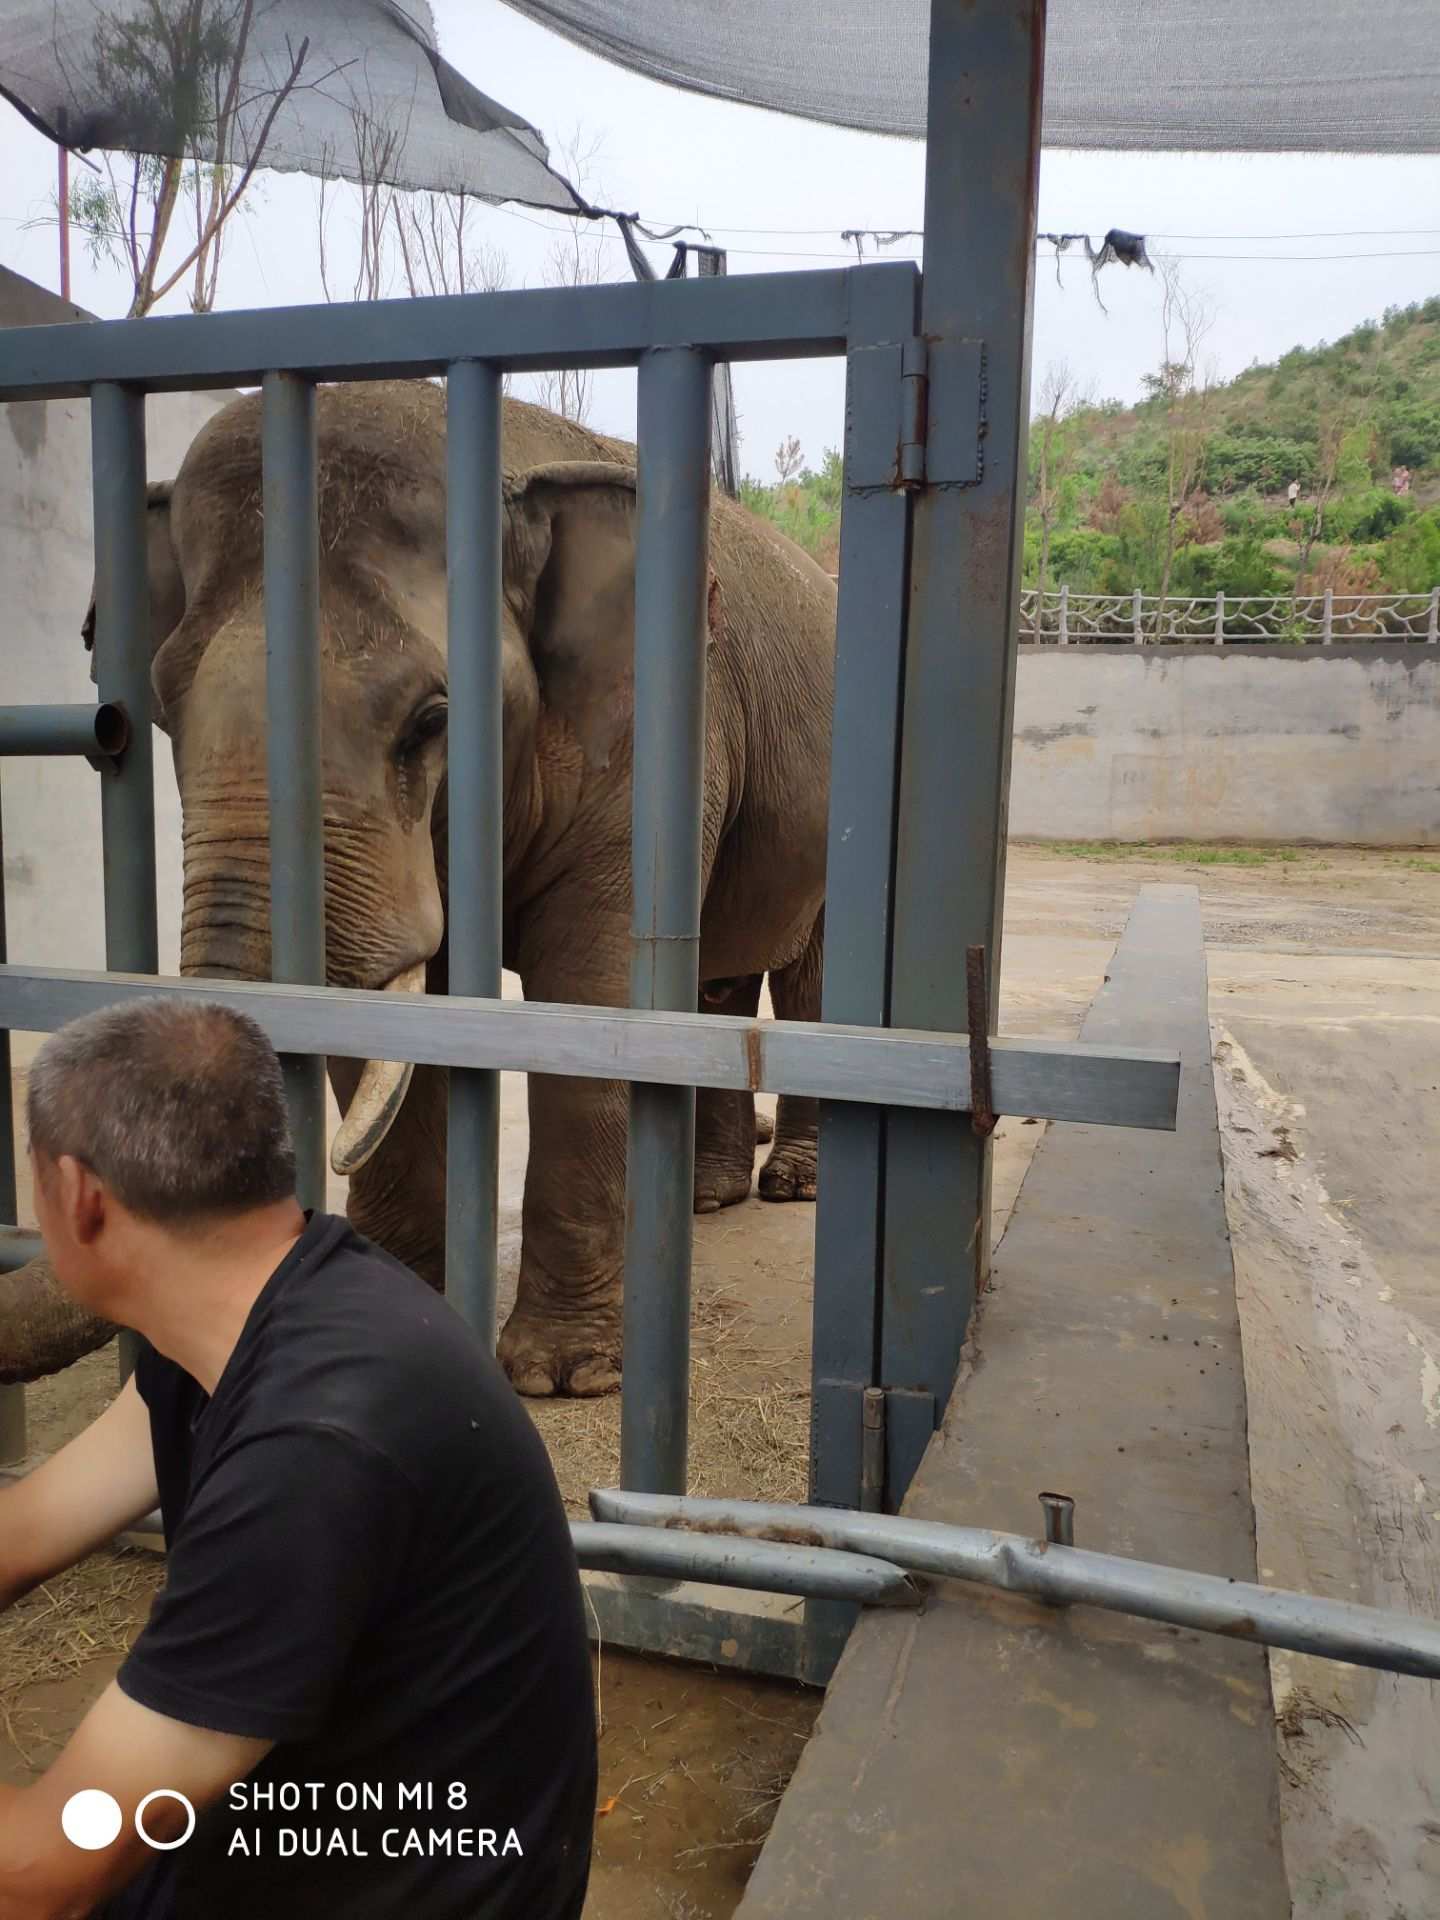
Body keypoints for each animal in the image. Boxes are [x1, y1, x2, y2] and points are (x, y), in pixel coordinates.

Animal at [2, 382, 833, 1397]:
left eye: (434, 719)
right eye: (156, 706)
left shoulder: (647, 747)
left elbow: (591, 1000)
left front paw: (560, 1377)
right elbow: (389, 1022)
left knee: (807, 982)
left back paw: (789, 1184)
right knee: (720, 980)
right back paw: (711, 1199)